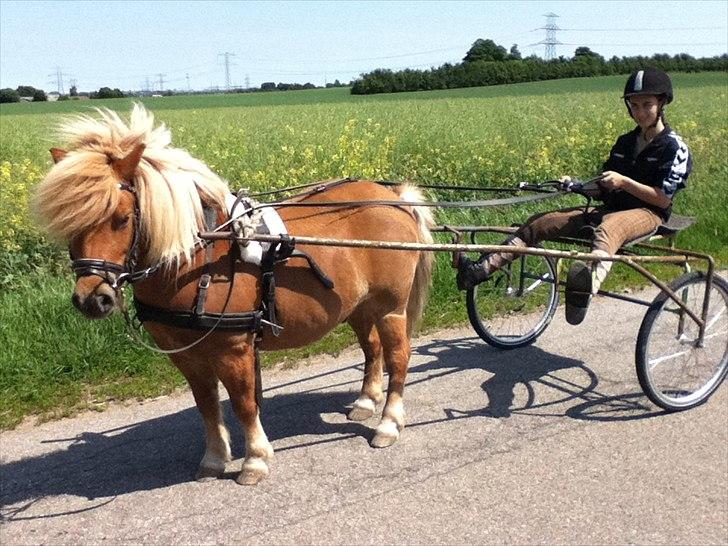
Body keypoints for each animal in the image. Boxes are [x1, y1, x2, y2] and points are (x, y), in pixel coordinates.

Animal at [32, 104, 432, 482]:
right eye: (68, 224)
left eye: (122, 218)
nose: (92, 299)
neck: (197, 257)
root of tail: (392, 196)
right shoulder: (187, 354)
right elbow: (207, 404)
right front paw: (214, 458)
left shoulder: (233, 348)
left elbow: (243, 403)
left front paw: (254, 459)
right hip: (359, 307)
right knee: (372, 349)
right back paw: (366, 401)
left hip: (390, 307)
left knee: (398, 357)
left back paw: (388, 422)